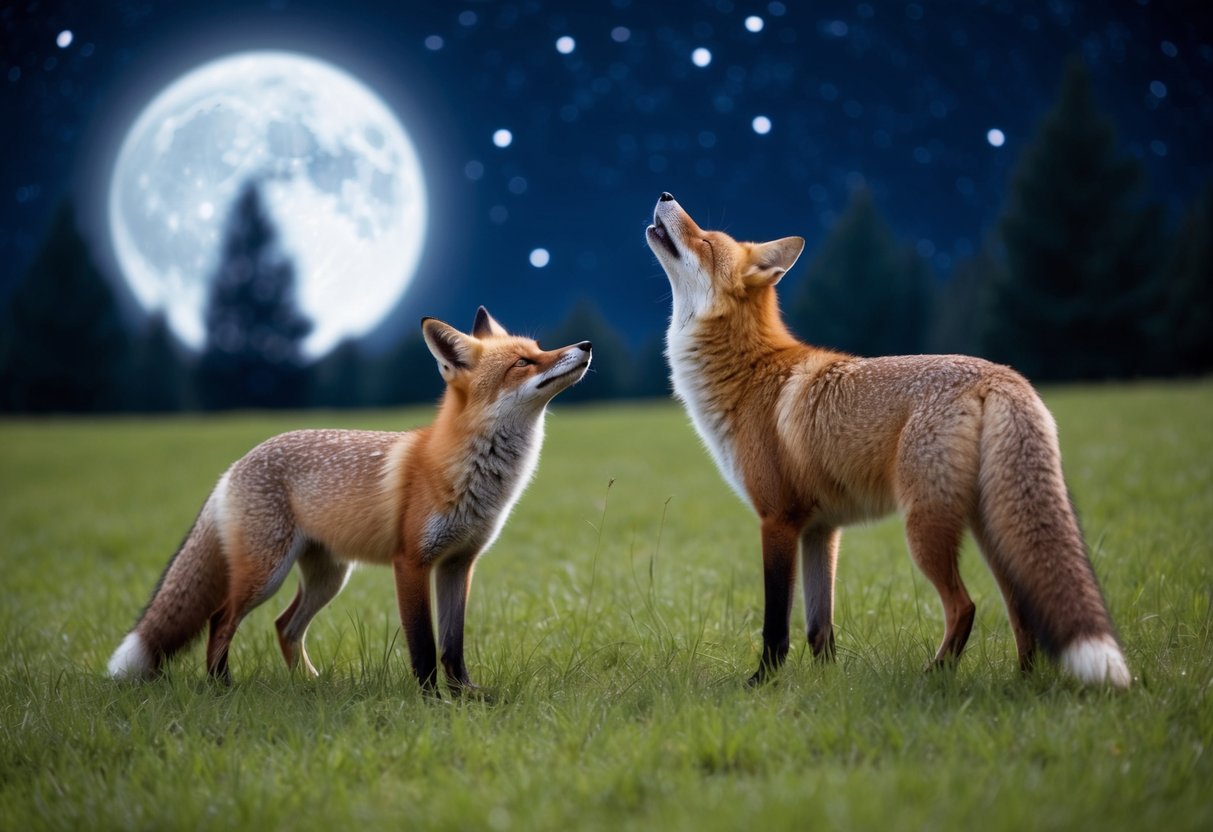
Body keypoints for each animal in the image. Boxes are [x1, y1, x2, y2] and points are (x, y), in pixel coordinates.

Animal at [107, 308, 592, 693]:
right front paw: (432, 701)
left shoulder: (459, 563)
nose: (585, 344)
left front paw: (467, 696)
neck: (471, 471)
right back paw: (221, 687)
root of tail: (236, 464)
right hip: (266, 574)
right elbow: (423, 644)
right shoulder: (411, 562)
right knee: (220, 619)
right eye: (523, 362)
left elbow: (453, 645)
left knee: (284, 625)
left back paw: (307, 684)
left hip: (328, 577)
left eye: (539, 348)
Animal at [645, 192, 1130, 689]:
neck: (750, 374)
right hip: (990, 529)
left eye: (705, 241)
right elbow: (820, 628)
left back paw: (933, 676)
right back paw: (1021, 682)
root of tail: (1001, 376)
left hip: (924, 528)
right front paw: (829, 687)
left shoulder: (777, 519)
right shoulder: (820, 529)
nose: (665, 195)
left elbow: (776, 623)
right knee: (1021, 609)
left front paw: (761, 683)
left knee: (965, 606)